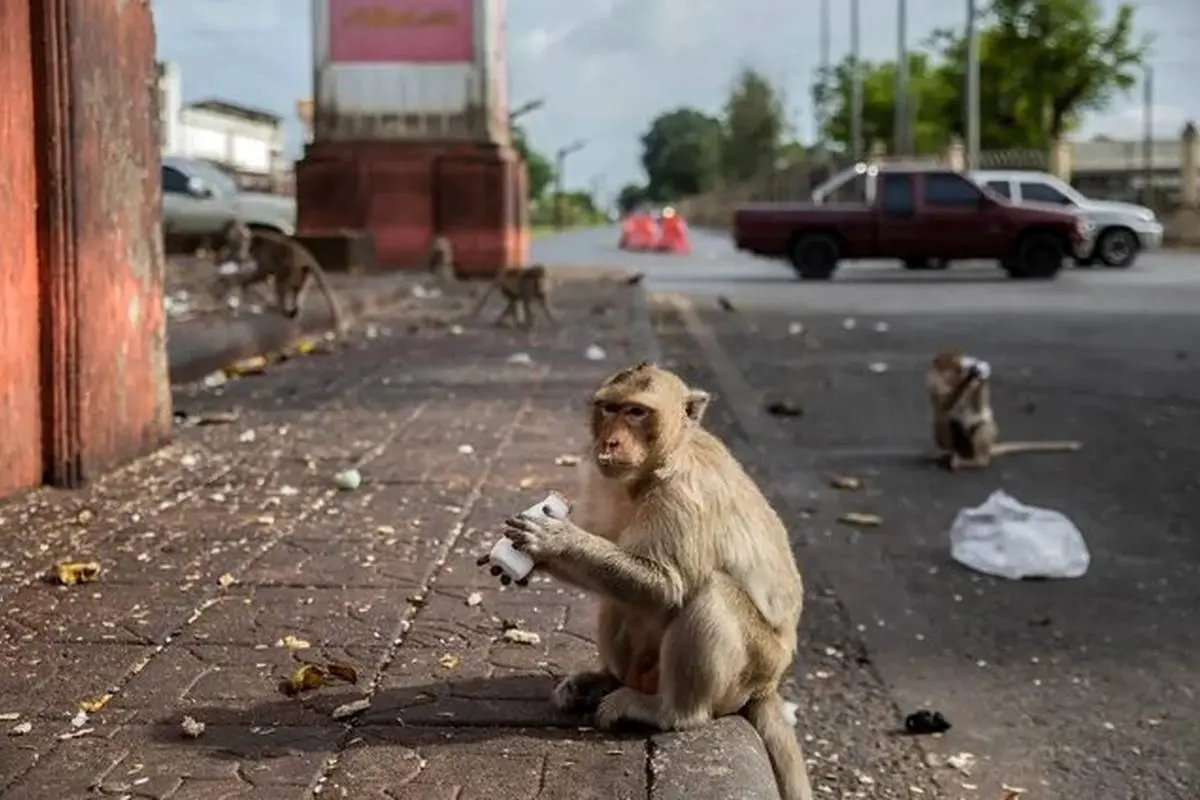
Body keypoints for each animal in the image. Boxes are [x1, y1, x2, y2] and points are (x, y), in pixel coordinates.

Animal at [475, 364, 806, 800]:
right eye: (609, 409)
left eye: (636, 412)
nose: (609, 441)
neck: (651, 470)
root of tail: (769, 686)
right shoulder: (602, 479)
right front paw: (535, 556)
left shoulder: (685, 494)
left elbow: (666, 587)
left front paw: (557, 538)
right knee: (617, 596)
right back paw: (606, 681)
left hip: (755, 667)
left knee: (710, 594)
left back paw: (670, 712)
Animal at [921, 347, 1084, 472]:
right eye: (952, 366)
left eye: (958, 368)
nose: (963, 370)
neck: (950, 380)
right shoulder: (933, 381)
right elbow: (943, 407)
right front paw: (972, 374)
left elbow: (977, 406)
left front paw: (979, 374)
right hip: (961, 445)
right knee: (944, 422)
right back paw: (951, 455)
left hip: (984, 441)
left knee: (983, 426)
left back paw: (977, 461)